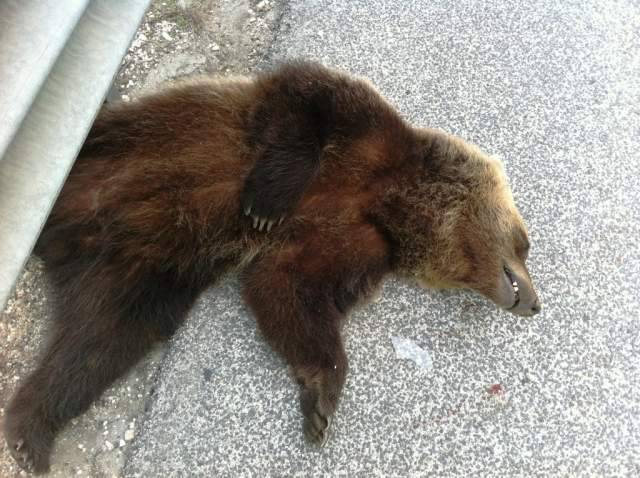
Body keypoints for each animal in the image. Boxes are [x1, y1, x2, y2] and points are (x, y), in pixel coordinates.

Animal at [3, 61, 540, 474]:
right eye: (525, 243)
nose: (535, 303)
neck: (389, 202)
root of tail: (57, 230)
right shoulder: (364, 130)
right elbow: (304, 98)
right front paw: (266, 201)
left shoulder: (352, 241)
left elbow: (287, 286)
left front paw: (322, 398)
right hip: (114, 143)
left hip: (136, 267)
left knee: (101, 339)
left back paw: (32, 431)